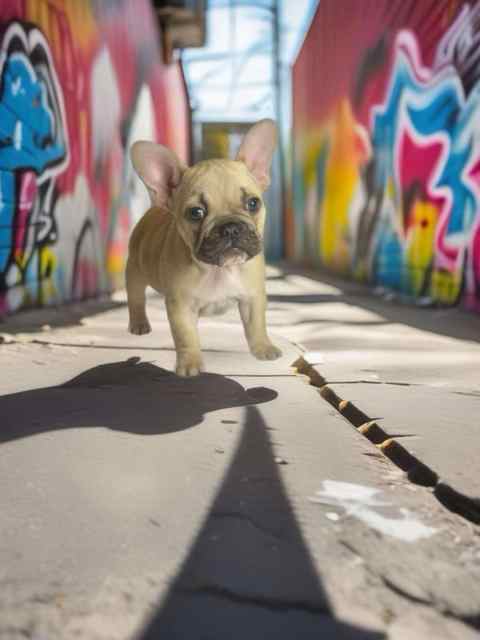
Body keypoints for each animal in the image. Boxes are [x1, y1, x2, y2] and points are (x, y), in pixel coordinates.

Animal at [126, 119, 282, 376]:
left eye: (253, 203)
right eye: (196, 213)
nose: (230, 228)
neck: (219, 270)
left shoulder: (253, 297)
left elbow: (256, 325)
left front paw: (263, 348)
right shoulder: (180, 306)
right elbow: (186, 337)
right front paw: (190, 365)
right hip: (136, 271)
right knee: (136, 297)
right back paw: (139, 324)